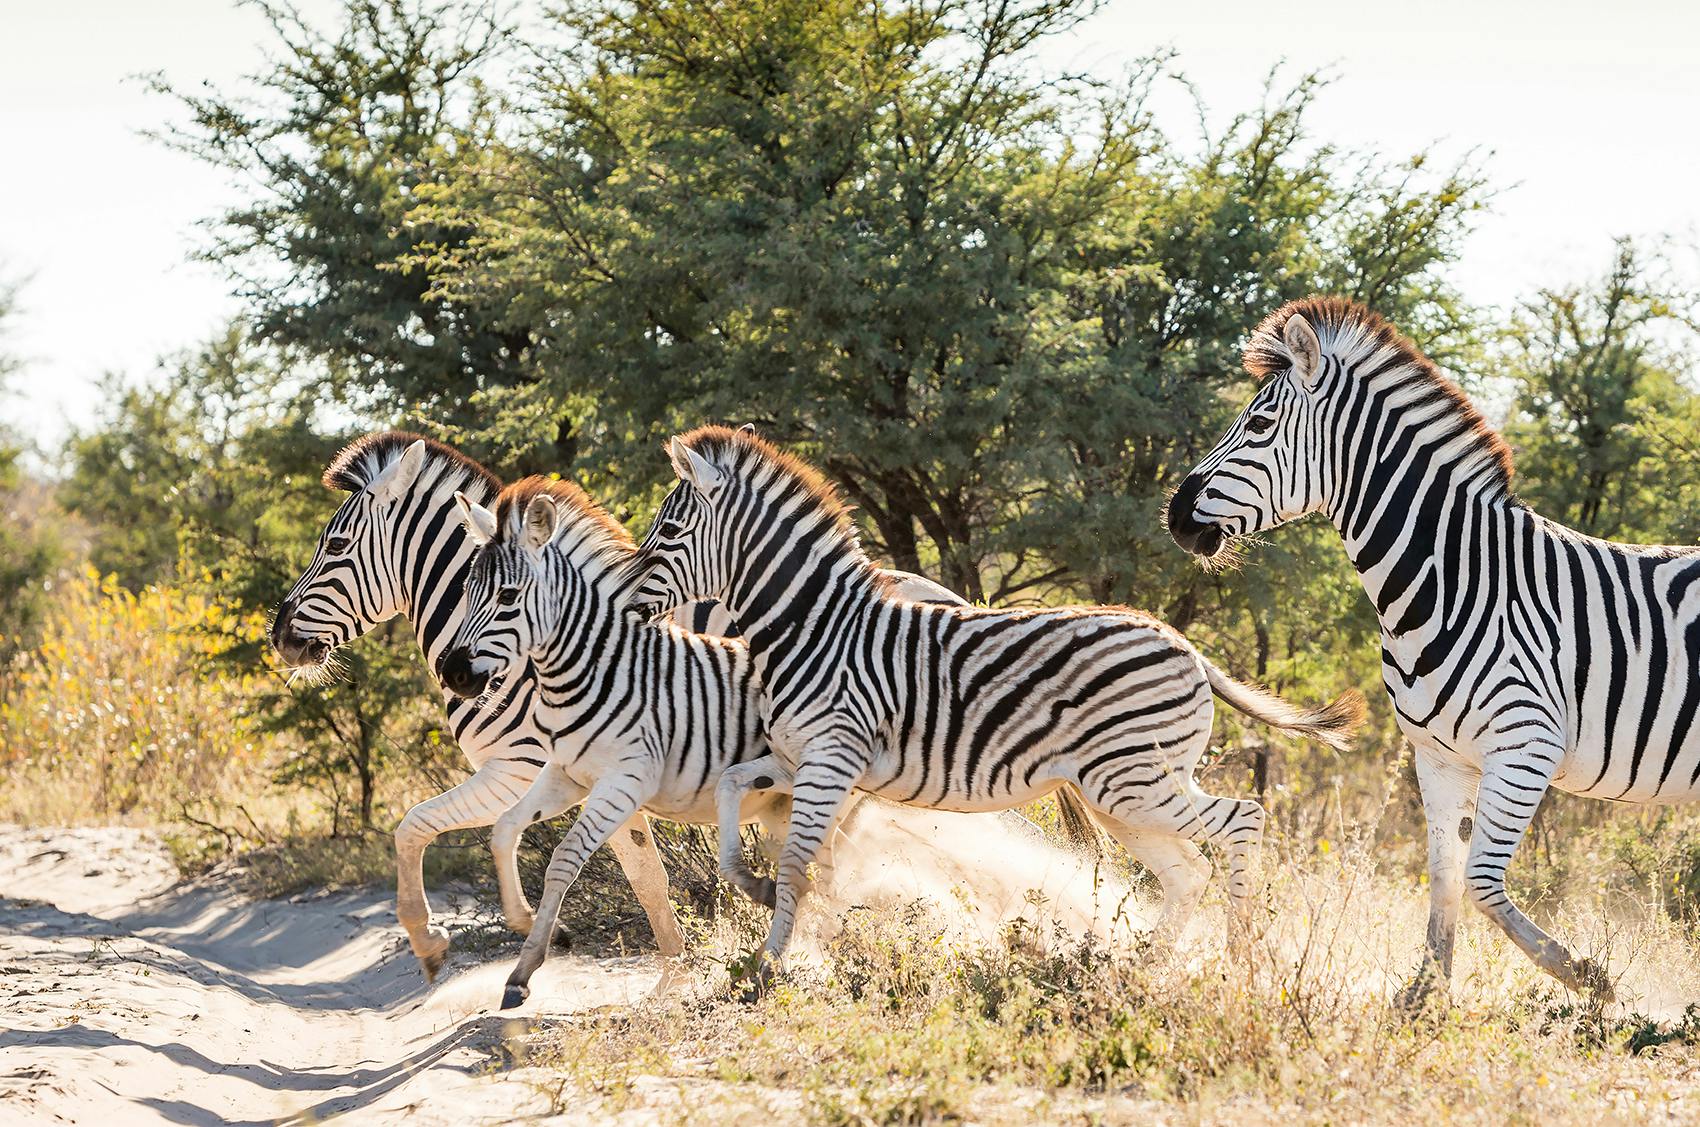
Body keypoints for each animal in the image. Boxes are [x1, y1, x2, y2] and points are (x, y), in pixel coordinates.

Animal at [275, 435, 972, 985]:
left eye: (336, 545)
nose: (278, 636)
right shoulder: (593, 776)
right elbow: (643, 874)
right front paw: (666, 969)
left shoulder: (518, 766)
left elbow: (413, 825)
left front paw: (432, 942)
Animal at [625, 428, 1366, 985]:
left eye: (668, 529)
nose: (627, 601)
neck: (814, 625)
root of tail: (1183, 643)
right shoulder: (802, 760)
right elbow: (734, 795)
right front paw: (755, 896)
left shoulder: (833, 760)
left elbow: (799, 859)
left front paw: (769, 966)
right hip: (1123, 790)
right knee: (1190, 870)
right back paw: (1139, 971)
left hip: (1130, 781)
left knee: (1242, 820)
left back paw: (1240, 963)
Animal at [1169, 295, 1686, 999]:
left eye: (1260, 423)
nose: (1174, 515)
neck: (1456, 580)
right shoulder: (1438, 755)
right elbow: (1443, 877)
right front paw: (1422, 998)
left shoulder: (1526, 745)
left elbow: (1480, 882)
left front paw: (1587, 977)